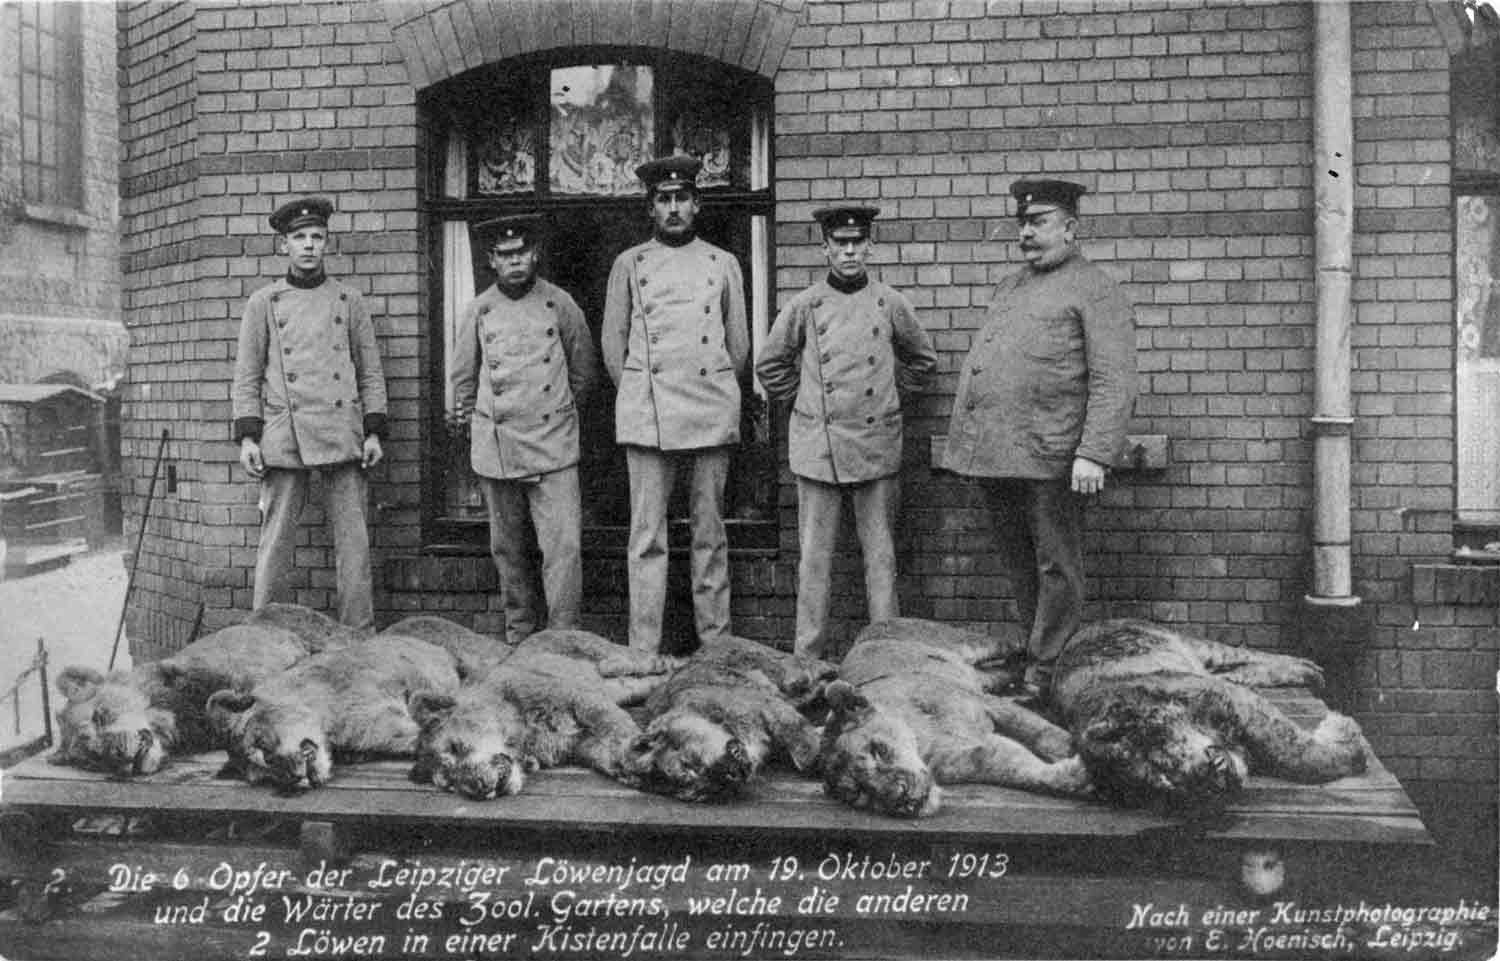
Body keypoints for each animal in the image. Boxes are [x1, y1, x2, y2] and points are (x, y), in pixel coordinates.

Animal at [618, 632, 834, 797]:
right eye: (697, 782)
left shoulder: (770, 707)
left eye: (689, 762)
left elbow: (804, 752)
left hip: (791, 676)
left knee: (817, 666)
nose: (730, 775)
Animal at [822, 617, 1092, 815]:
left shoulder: (988, 705)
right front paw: (1078, 778)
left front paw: (1079, 750)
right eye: (859, 794)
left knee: (1009, 644)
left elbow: (1043, 733)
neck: (920, 736)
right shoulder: (975, 755)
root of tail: (868, 627)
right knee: (1001, 672)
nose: (903, 800)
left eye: (878, 750)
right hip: (980, 676)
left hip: (968, 643)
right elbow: (1020, 770)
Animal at [1050, 617, 1368, 815]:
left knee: (1252, 655)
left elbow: (1297, 751)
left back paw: (1308, 669)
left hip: (1203, 648)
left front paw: (1346, 735)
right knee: (1246, 670)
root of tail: (1090, 625)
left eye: (1157, 736)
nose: (1212, 776)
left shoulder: (1237, 703)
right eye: (1161, 782)